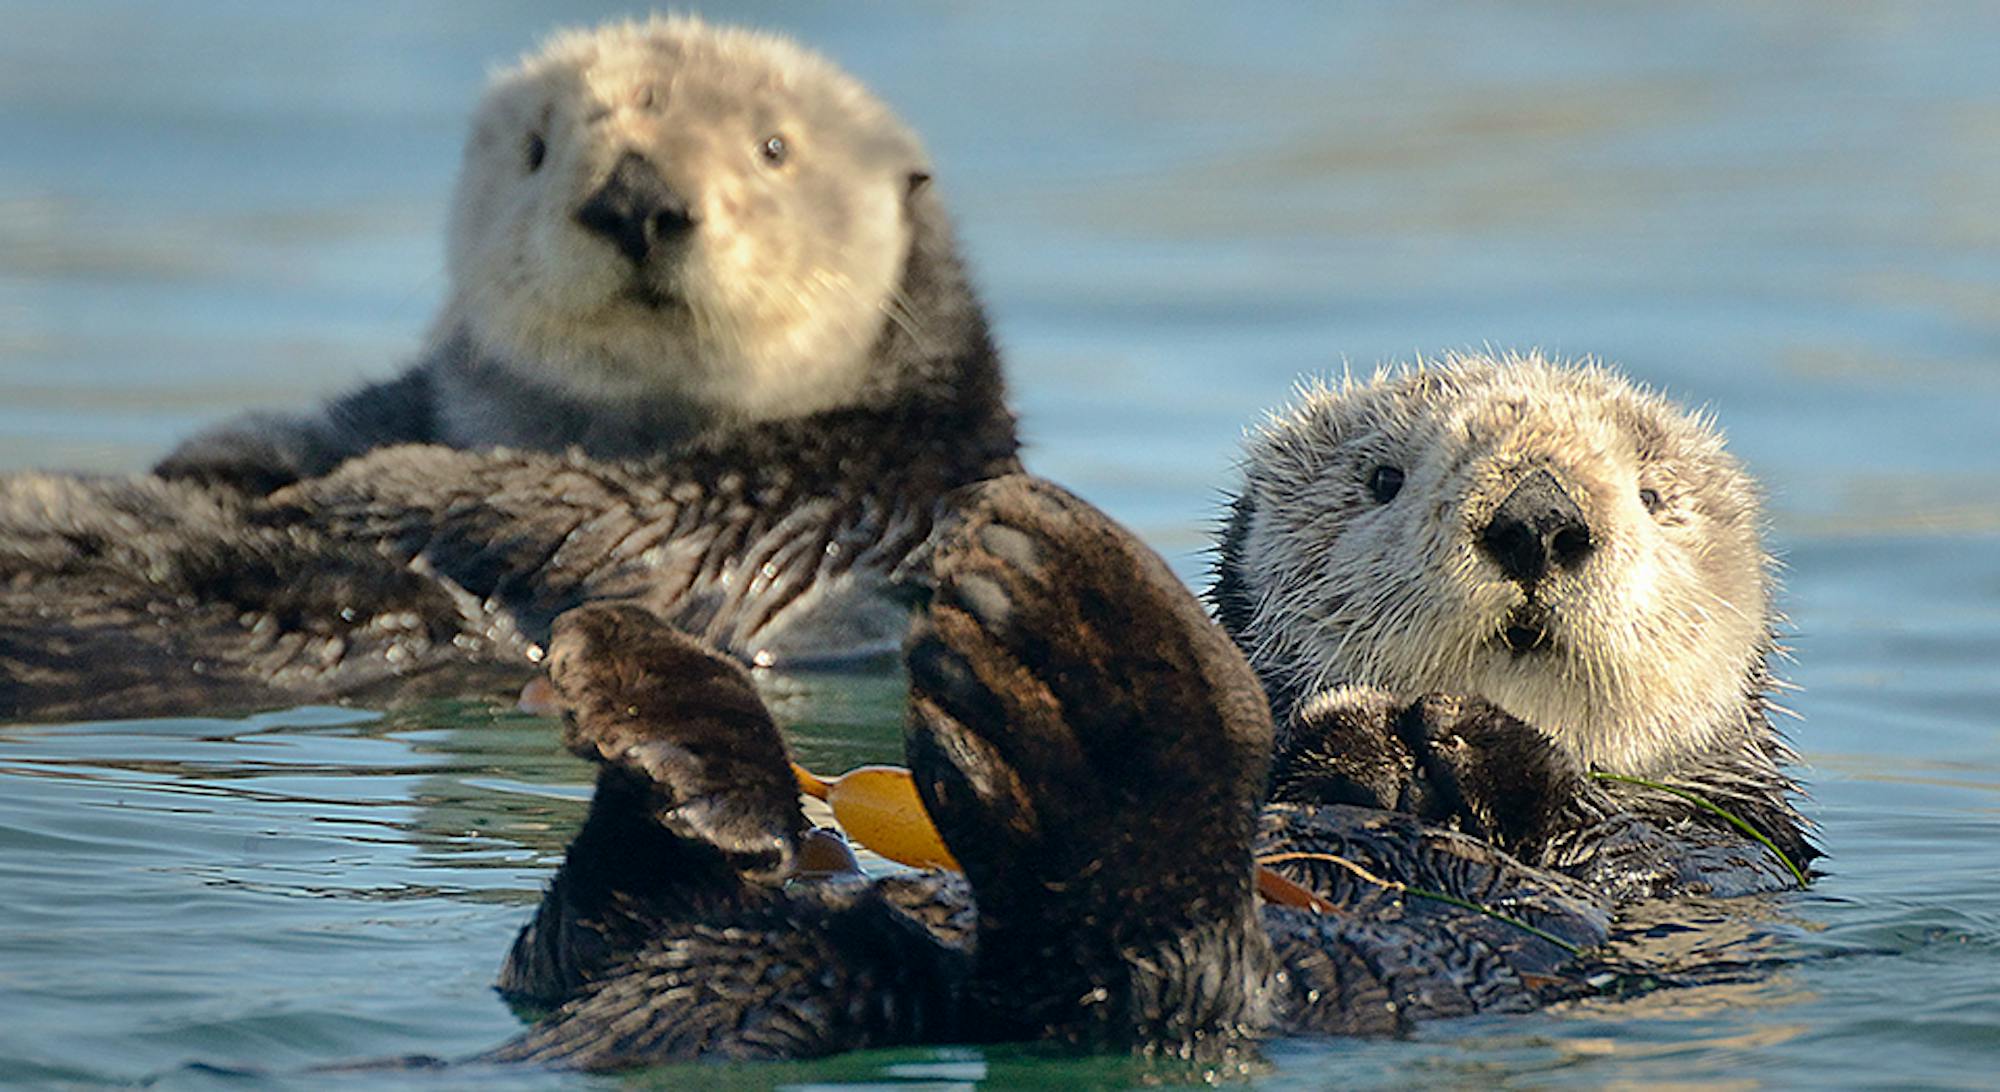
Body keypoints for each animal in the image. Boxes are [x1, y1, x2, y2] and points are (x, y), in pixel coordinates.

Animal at [1208, 350, 1824, 892]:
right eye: (1383, 480)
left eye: (1650, 495)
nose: (1537, 522)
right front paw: (1359, 733)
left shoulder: (1736, 848)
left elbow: (1648, 858)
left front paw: (1466, 732)